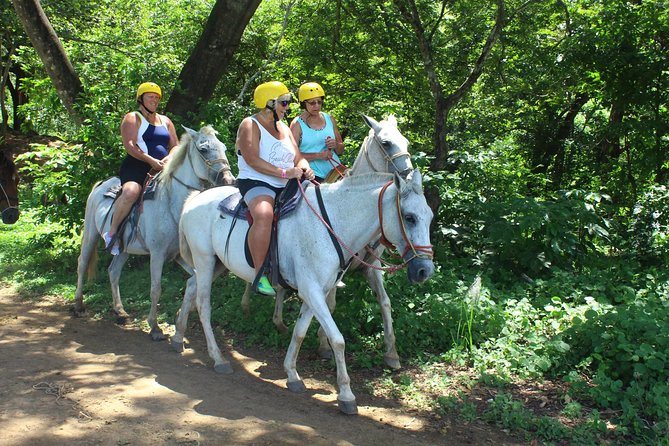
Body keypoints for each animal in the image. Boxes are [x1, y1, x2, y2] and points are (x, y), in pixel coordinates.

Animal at [72, 123, 234, 340]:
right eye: (203, 148)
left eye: (223, 147)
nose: (229, 179)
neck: (171, 202)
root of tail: (101, 184)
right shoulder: (157, 255)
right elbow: (156, 289)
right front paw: (155, 327)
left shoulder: (177, 256)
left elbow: (194, 278)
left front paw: (182, 313)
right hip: (91, 233)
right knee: (82, 264)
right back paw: (78, 305)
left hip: (123, 249)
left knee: (113, 271)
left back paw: (120, 311)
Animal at [172, 170, 434, 414]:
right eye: (409, 218)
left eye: (429, 217)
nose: (425, 270)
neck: (333, 223)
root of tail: (195, 199)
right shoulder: (312, 291)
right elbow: (337, 340)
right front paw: (346, 395)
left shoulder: (316, 293)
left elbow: (299, 332)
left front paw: (292, 374)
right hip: (205, 260)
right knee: (203, 306)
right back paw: (218, 358)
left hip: (216, 264)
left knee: (191, 286)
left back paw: (178, 336)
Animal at [240, 114, 414, 370]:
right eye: (386, 143)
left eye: (406, 141)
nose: (409, 175)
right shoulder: (335, 272)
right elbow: (329, 306)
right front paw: (324, 345)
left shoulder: (371, 267)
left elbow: (385, 302)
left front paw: (392, 353)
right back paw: (250, 305)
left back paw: (279, 321)